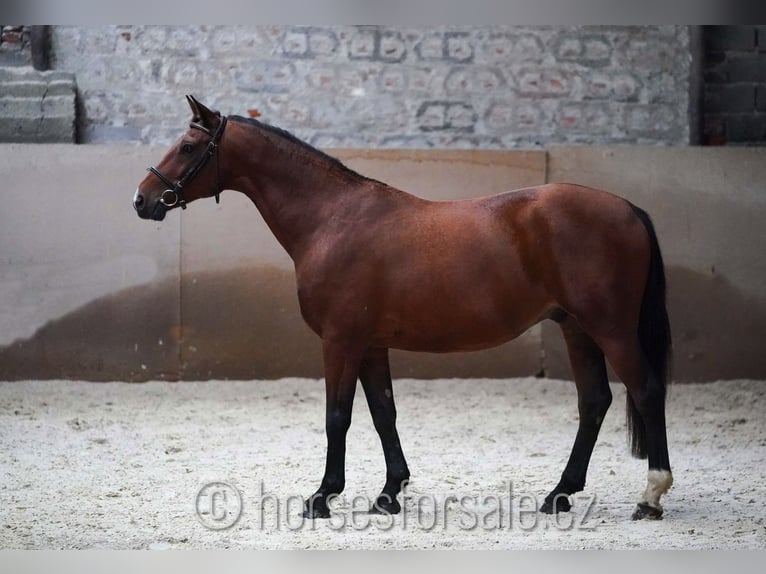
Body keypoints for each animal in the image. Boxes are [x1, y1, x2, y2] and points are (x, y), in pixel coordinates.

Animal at [135, 98, 676, 520]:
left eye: (187, 147)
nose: (142, 200)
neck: (332, 219)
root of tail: (628, 209)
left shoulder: (341, 341)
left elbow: (337, 416)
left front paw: (323, 496)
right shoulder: (371, 344)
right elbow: (383, 413)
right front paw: (390, 493)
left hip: (611, 329)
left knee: (647, 392)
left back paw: (650, 496)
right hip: (576, 327)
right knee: (594, 402)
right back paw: (559, 494)